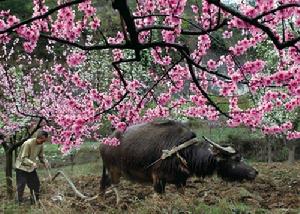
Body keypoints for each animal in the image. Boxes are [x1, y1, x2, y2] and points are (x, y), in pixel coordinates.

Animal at [99, 119, 258, 203]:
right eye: (237, 158)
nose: (255, 172)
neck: (183, 151)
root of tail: (104, 142)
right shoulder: (158, 178)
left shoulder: (181, 180)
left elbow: (182, 194)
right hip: (114, 169)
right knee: (114, 185)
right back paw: (119, 203)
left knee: (105, 183)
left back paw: (102, 199)